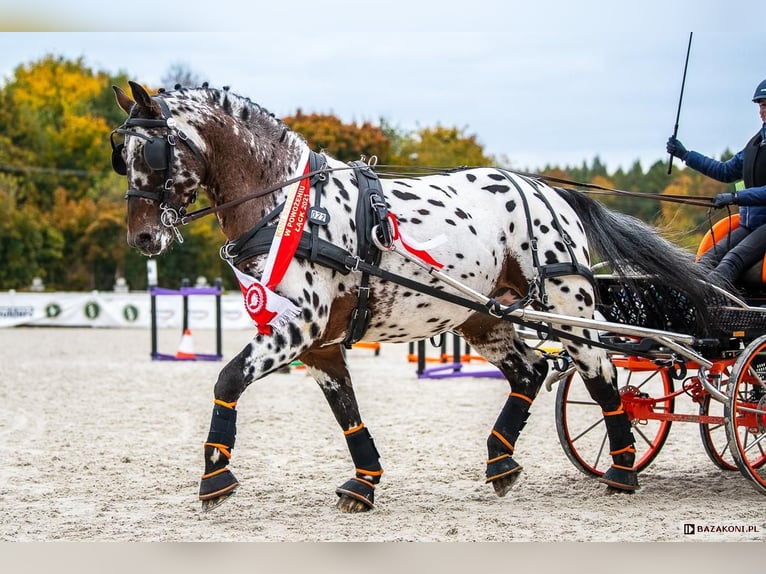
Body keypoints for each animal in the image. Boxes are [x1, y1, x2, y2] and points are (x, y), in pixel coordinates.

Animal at [111, 80, 721, 513]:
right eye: (124, 155)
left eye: (154, 154)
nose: (141, 238)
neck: (290, 205)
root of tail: (550, 190)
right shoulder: (317, 341)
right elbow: (346, 410)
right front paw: (364, 482)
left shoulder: (300, 325)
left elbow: (227, 378)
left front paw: (215, 474)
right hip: (484, 315)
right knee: (530, 372)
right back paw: (501, 463)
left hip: (568, 309)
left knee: (601, 374)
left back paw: (621, 470)